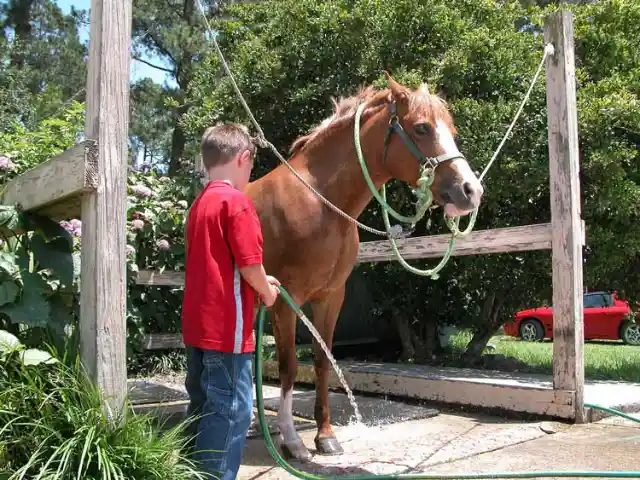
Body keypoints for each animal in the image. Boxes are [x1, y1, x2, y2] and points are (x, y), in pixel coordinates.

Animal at [242, 73, 482, 460]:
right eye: (422, 128)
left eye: (452, 129)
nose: (471, 190)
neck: (321, 199)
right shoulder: (286, 300)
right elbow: (289, 367)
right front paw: (292, 440)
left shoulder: (330, 298)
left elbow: (322, 362)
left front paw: (325, 436)